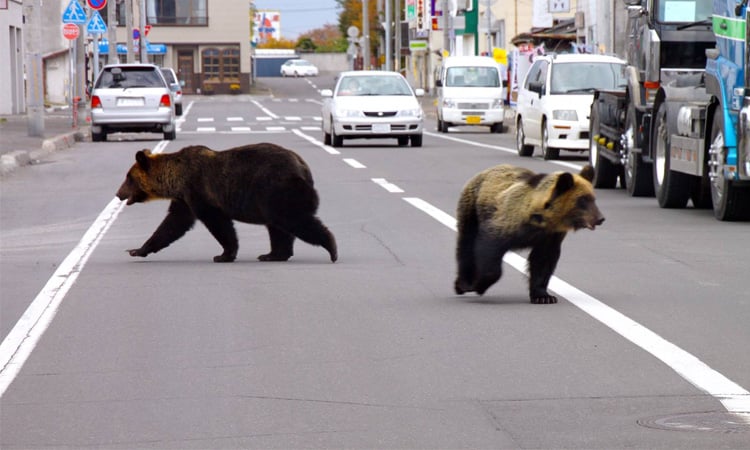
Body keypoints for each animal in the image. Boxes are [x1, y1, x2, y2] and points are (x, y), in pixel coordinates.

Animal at [116, 143, 338, 263]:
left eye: (128, 178)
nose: (118, 194)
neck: (176, 179)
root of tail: (303, 167)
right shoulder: (184, 199)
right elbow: (172, 225)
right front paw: (137, 250)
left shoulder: (199, 191)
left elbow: (218, 223)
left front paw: (224, 254)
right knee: (278, 227)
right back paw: (272, 254)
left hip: (277, 189)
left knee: (293, 220)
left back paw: (332, 248)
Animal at [454, 164, 604, 304]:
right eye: (583, 199)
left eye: (593, 198)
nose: (600, 218)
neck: (541, 220)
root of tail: (485, 171)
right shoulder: (505, 223)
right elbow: (489, 249)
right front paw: (479, 285)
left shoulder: (550, 236)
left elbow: (543, 261)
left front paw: (544, 296)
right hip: (472, 208)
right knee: (466, 242)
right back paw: (462, 284)